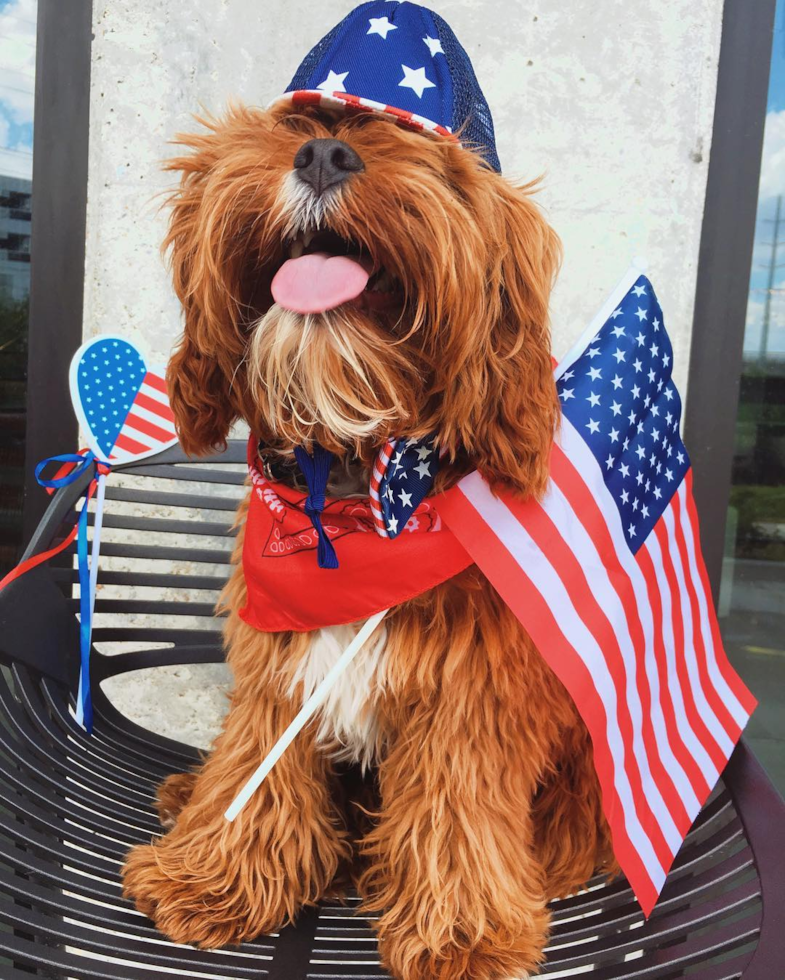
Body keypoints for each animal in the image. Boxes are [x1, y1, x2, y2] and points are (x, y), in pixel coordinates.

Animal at [119, 3, 616, 976]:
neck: (353, 490)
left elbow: (455, 808)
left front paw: (462, 932)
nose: (323, 155)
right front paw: (215, 875)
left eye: (415, 147)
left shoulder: (471, 692)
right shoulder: (275, 658)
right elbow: (254, 763)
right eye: (298, 126)